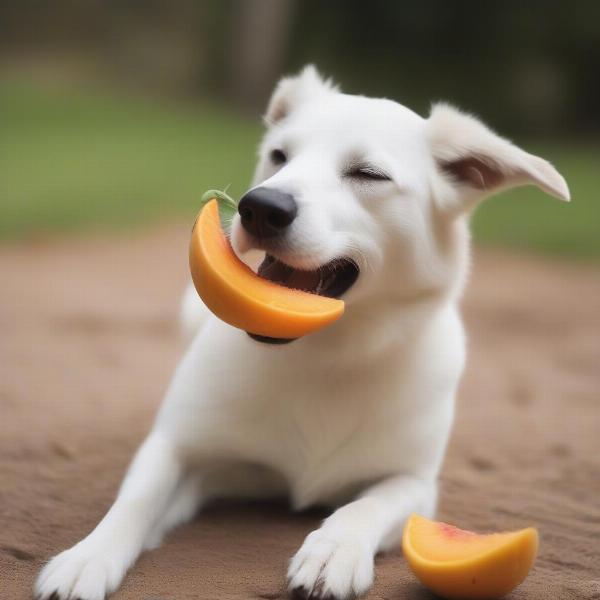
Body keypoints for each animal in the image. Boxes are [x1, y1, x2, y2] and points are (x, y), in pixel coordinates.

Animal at [35, 67, 568, 600]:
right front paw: (87, 556)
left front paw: (333, 550)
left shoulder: (414, 484)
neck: (325, 356)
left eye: (367, 174)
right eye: (278, 156)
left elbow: (363, 506)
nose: (260, 207)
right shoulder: (177, 448)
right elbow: (134, 501)